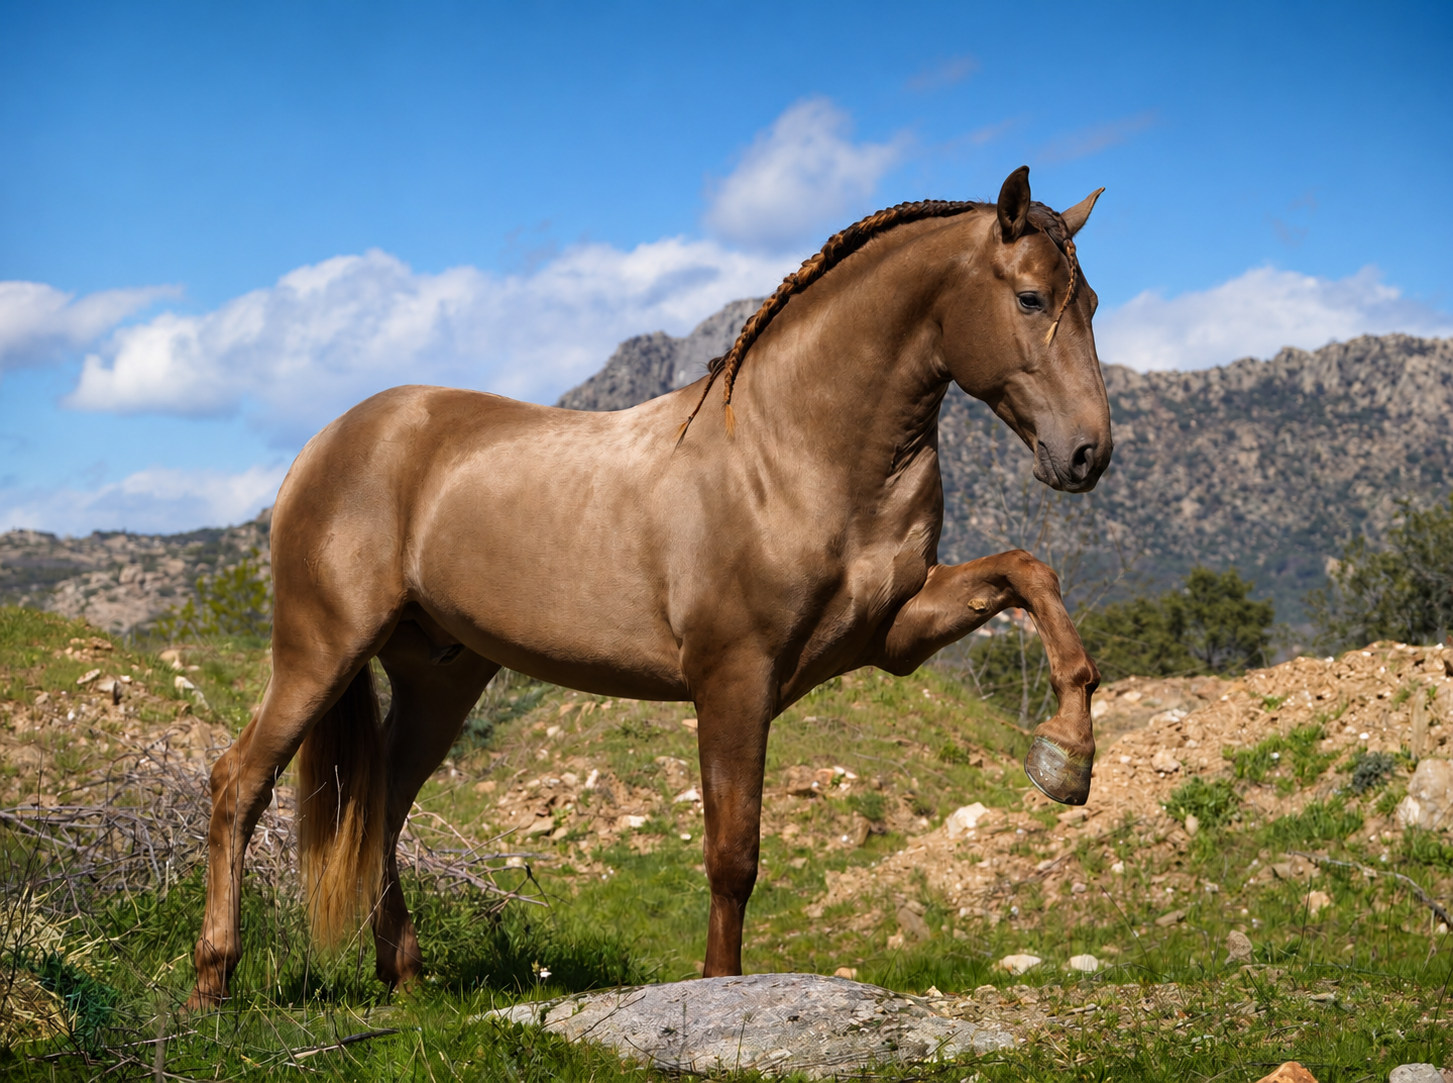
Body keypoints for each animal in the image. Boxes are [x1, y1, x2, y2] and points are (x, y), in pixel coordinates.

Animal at [186, 165, 1111, 1010]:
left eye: (1093, 303)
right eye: (1030, 298)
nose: (1087, 454)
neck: (789, 446)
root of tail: (326, 442)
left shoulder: (895, 631)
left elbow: (1028, 572)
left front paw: (1066, 758)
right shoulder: (733, 677)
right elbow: (732, 853)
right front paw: (722, 993)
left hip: (438, 676)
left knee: (381, 802)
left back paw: (404, 975)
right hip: (321, 651)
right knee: (239, 781)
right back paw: (213, 981)